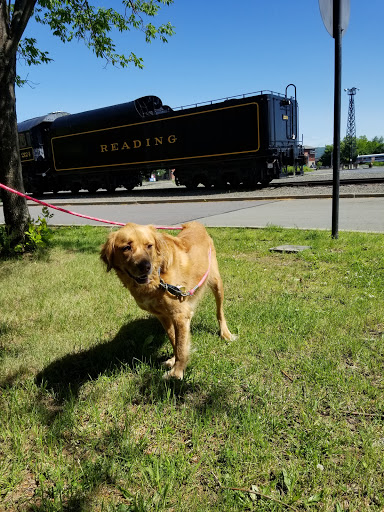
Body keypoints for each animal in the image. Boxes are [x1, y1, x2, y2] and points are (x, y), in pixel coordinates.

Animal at [100, 221, 234, 380]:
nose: (146, 266)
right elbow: (175, 340)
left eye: (149, 246)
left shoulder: (180, 315)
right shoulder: (163, 316)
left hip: (216, 282)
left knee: (220, 312)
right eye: (126, 247)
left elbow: (181, 347)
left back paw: (225, 333)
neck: (157, 279)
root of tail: (195, 224)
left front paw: (176, 373)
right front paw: (173, 361)